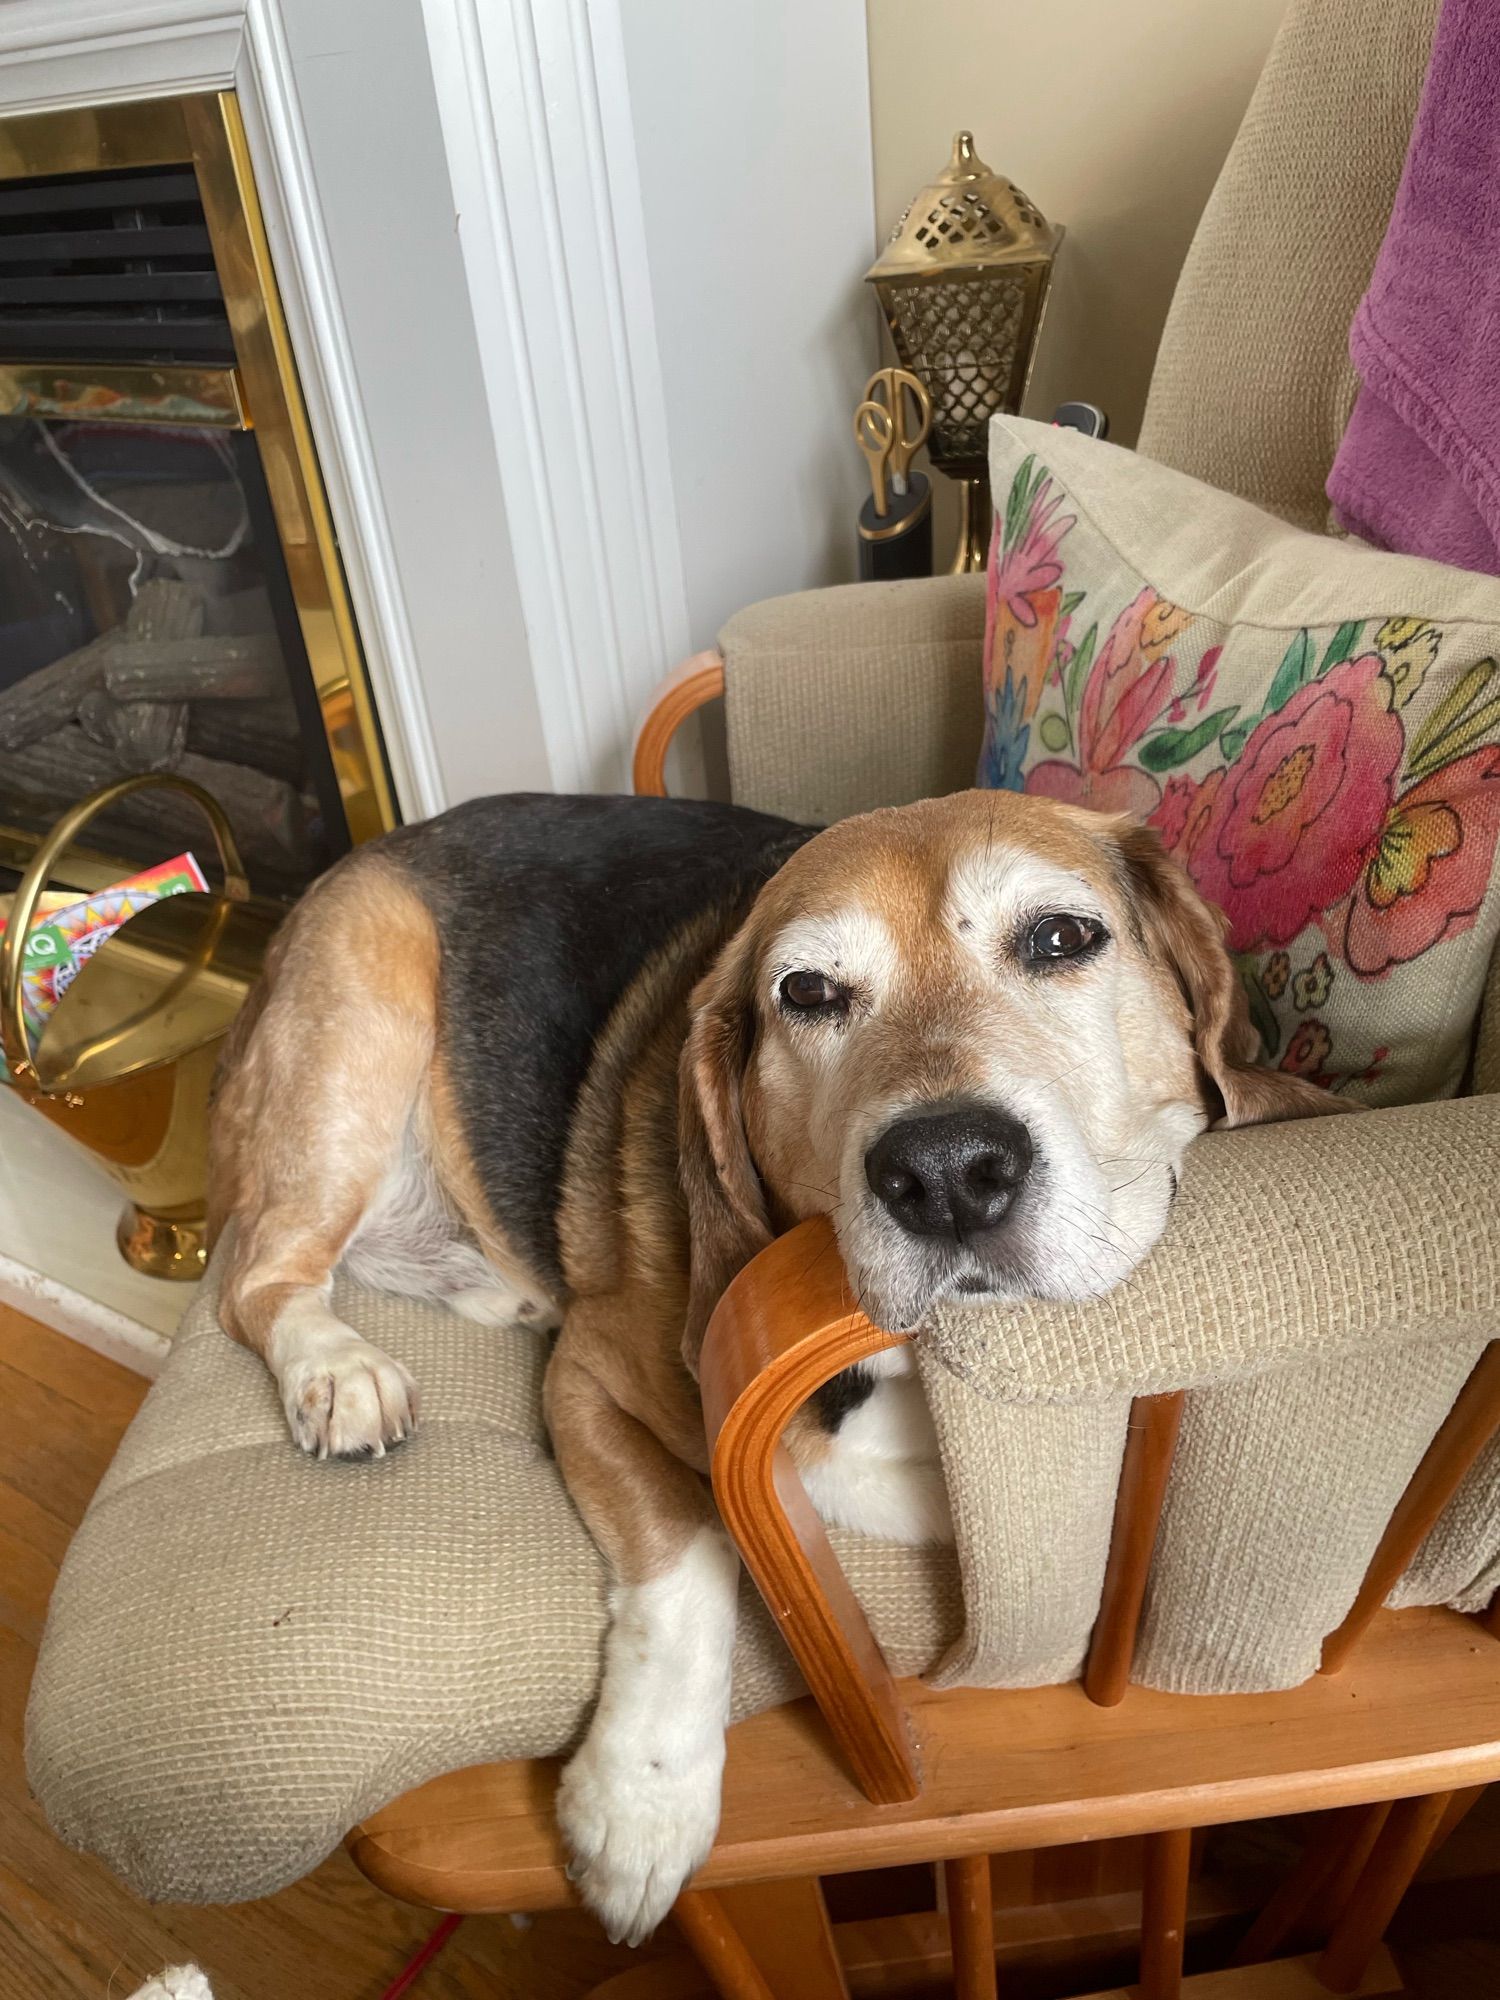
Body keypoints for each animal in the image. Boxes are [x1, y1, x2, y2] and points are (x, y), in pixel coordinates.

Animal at [209, 792, 1336, 1936]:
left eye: (1062, 937)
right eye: (807, 992)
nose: (944, 1171)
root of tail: (368, 853)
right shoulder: (585, 1380)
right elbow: (690, 1552)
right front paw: (643, 1799)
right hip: (360, 1032)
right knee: (257, 1274)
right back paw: (338, 1369)